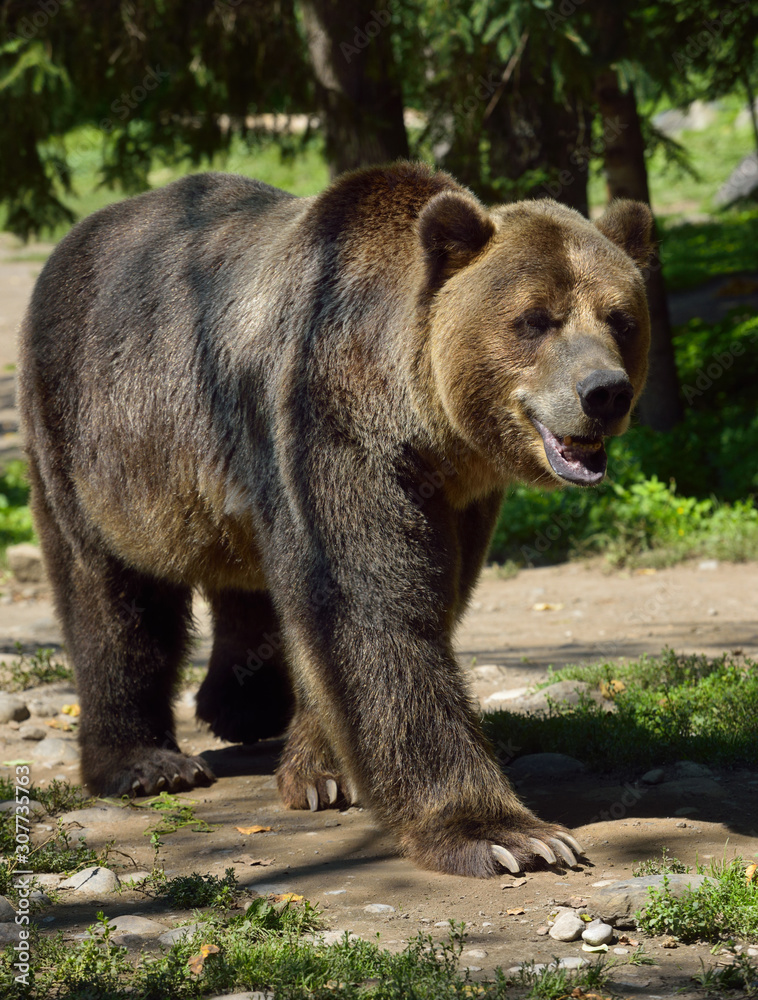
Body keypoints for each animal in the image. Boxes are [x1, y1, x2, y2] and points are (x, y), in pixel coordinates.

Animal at [18, 162, 652, 878]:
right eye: (535, 320)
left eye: (622, 318)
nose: (603, 392)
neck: (423, 424)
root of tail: (77, 236)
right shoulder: (323, 418)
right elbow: (368, 606)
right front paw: (505, 834)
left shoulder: (460, 494)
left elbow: (399, 607)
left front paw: (324, 771)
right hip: (87, 432)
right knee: (108, 592)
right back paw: (147, 762)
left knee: (247, 578)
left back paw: (243, 706)